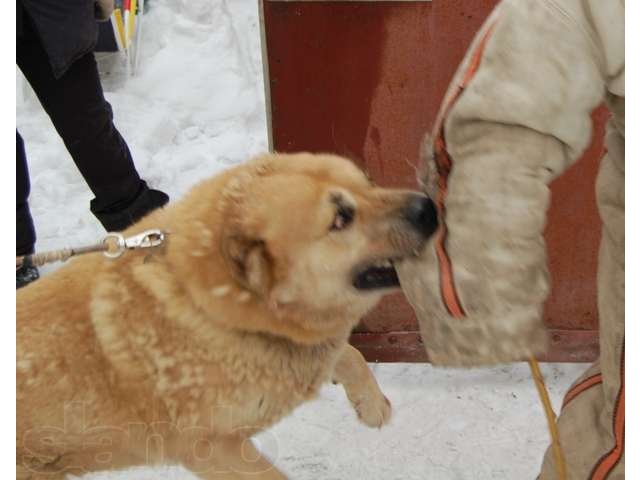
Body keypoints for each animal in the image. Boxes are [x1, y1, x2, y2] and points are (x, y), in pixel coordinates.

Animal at [17, 154, 440, 480]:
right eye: (341, 218)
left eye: (368, 182)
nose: (430, 208)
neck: (209, 312)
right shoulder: (211, 450)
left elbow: (349, 354)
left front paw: (371, 405)